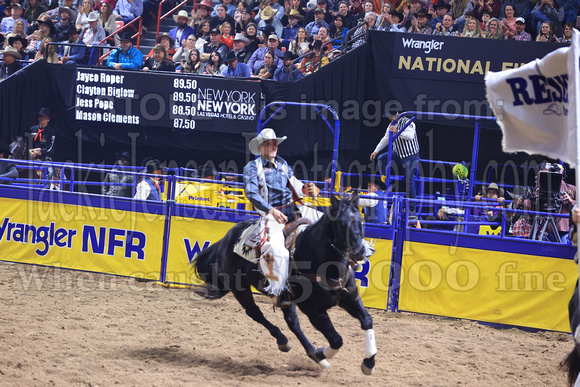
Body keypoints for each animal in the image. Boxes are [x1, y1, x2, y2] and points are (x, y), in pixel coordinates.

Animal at [193, 196, 378, 374]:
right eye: (341, 223)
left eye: (360, 220)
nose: (360, 251)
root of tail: (226, 238)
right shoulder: (314, 311)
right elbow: (336, 340)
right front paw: (321, 353)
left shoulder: (351, 298)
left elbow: (367, 321)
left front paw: (369, 362)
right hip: (240, 288)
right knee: (255, 313)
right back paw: (284, 341)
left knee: (292, 322)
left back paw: (312, 354)